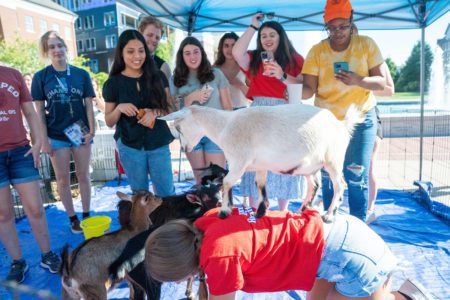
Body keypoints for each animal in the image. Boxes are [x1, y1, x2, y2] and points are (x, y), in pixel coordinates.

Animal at [160, 104, 360, 221]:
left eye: (178, 127)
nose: (184, 148)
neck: (224, 126)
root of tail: (342, 125)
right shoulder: (260, 166)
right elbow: (260, 185)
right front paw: (261, 211)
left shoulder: (238, 161)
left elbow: (226, 182)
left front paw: (224, 211)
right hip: (311, 165)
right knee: (315, 184)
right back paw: (304, 209)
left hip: (333, 160)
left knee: (339, 185)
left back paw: (329, 215)